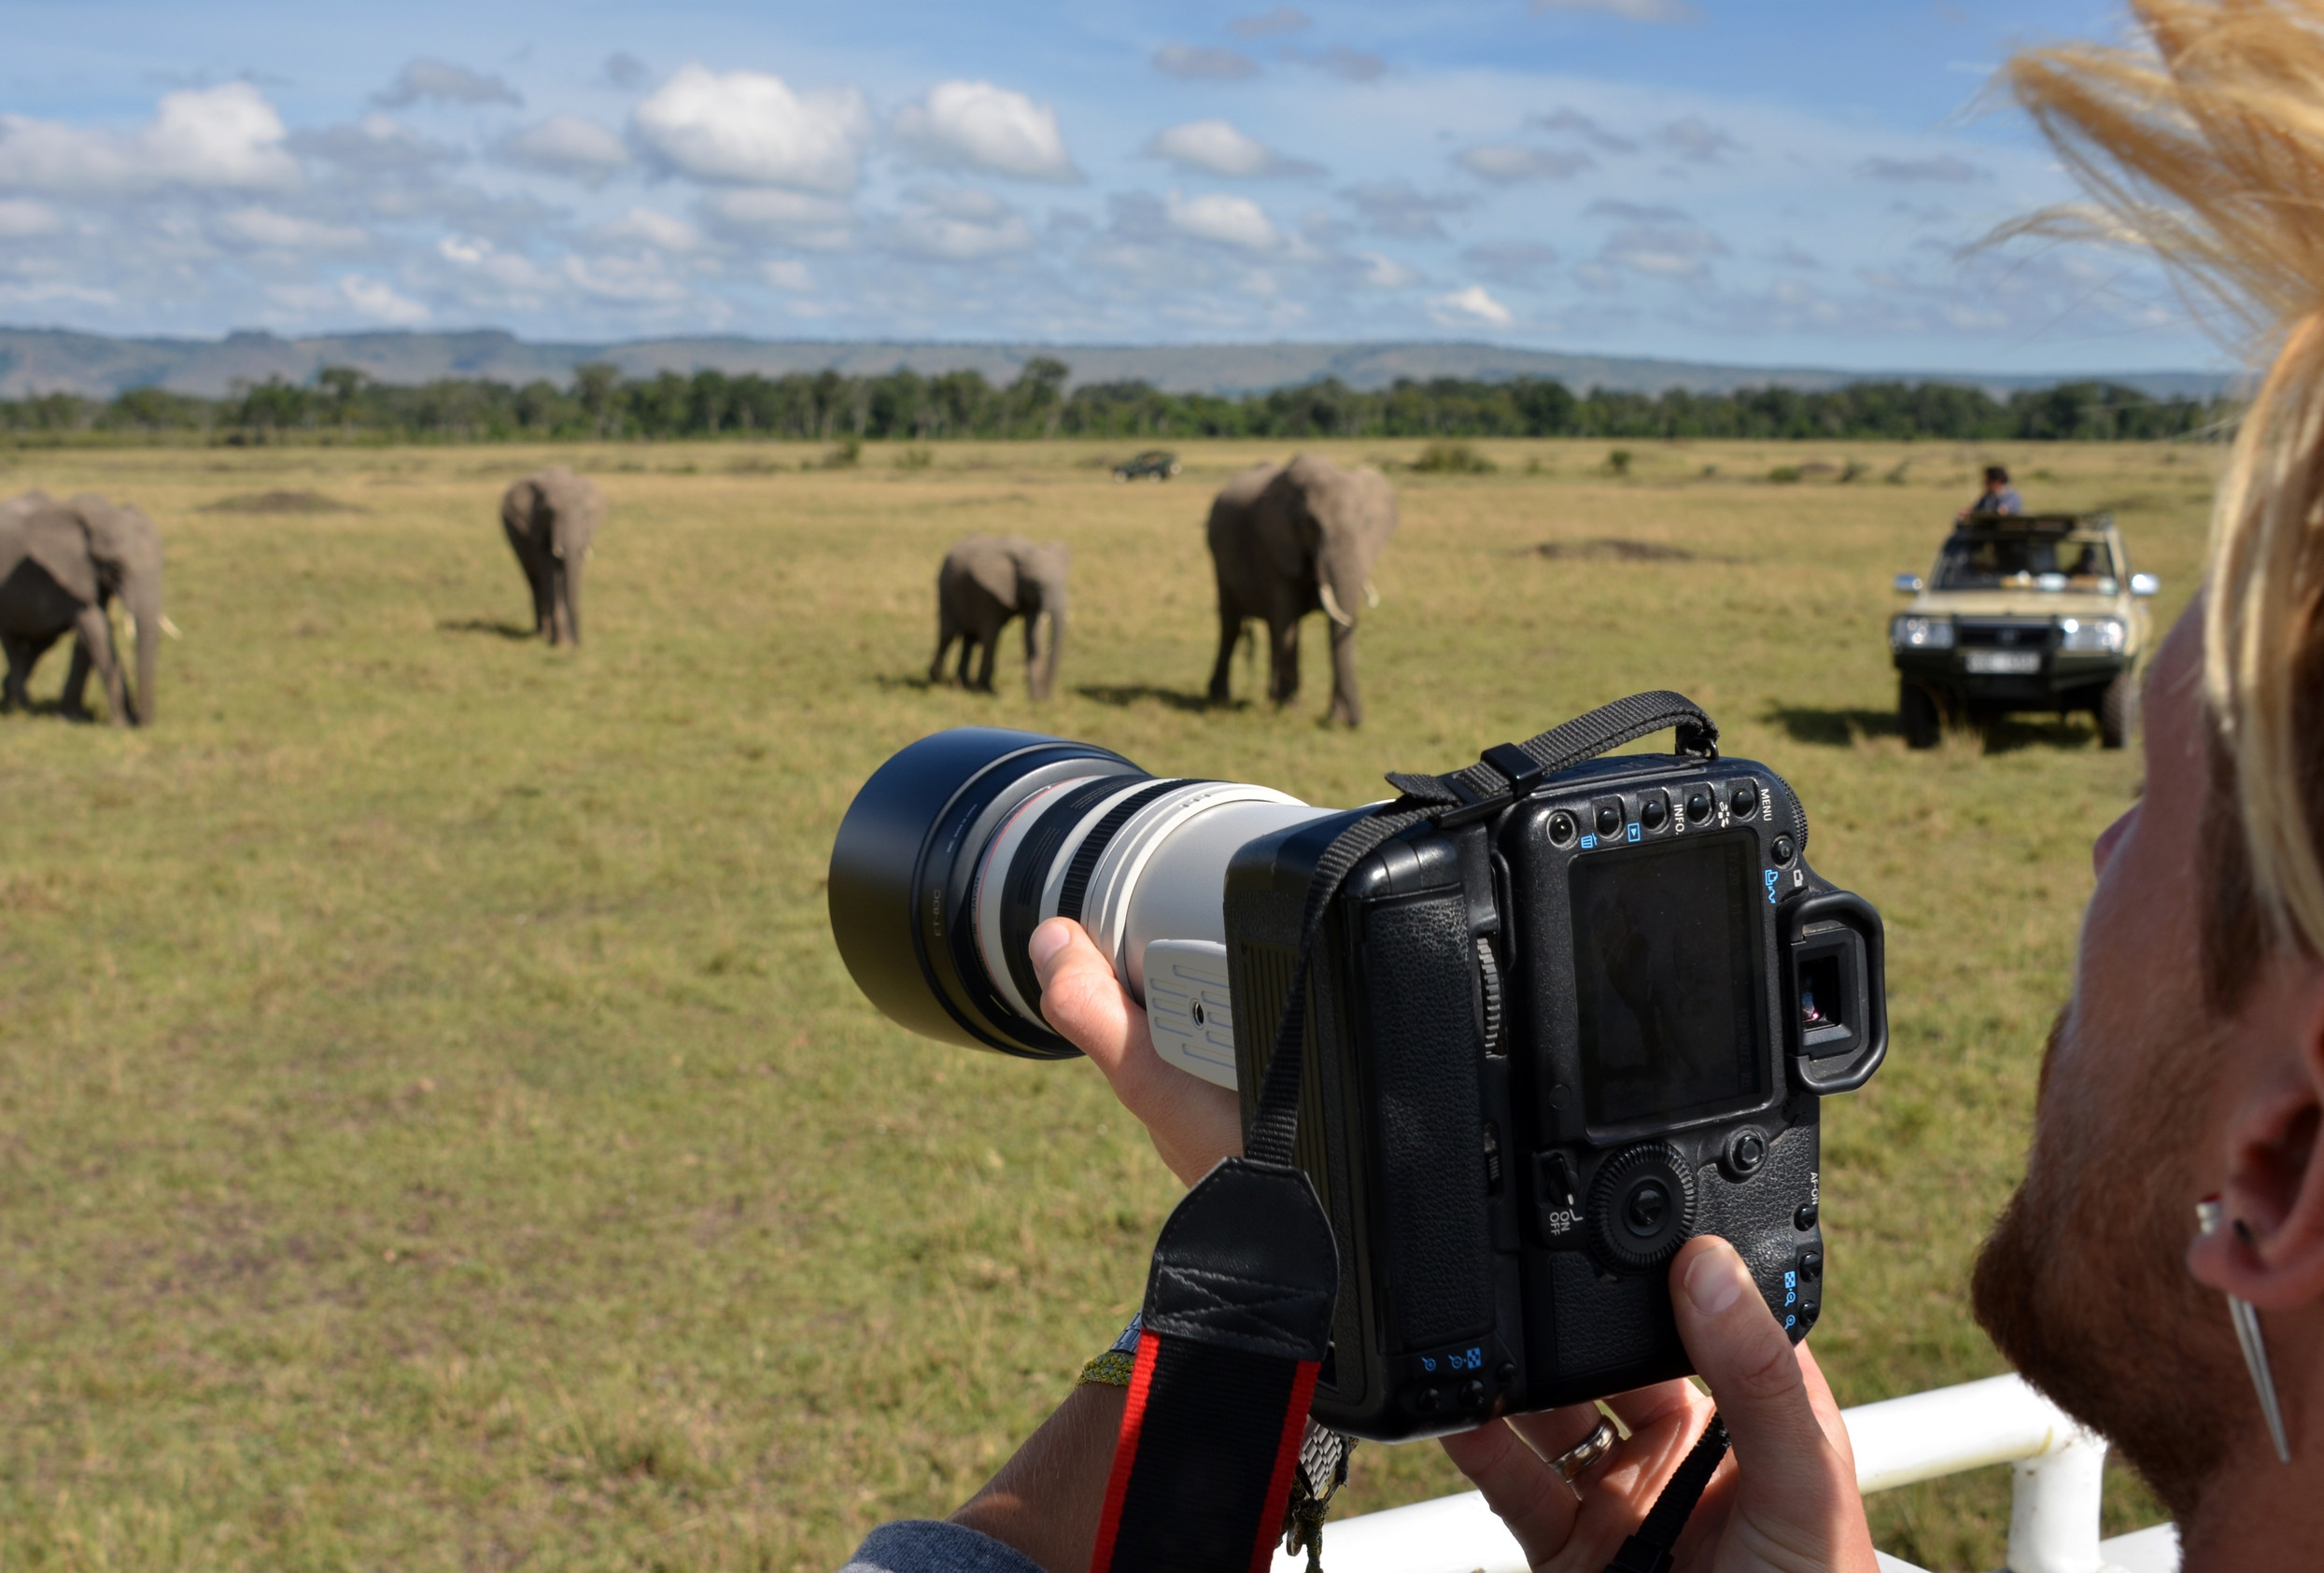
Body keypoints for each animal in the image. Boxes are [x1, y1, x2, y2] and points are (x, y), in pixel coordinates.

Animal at [0, 487, 163, 724]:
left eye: (163, 564)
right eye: (116, 568)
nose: (143, 724)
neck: (105, 516)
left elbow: (89, 636)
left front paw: (72, 716)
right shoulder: (68, 574)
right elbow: (96, 627)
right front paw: (121, 723)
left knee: (42, 641)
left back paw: (10, 697)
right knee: (11, 640)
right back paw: (21, 705)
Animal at [497, 467, 604, 645]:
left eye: (585, 514)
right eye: (549, 512)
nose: (578, 643)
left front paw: (565, 642)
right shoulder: (535, 526)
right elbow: (548, 572)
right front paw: (560, 643)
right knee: (535, 581)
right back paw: (542, 633)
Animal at [924, 534, 1068, 701]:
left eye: (1065, 583)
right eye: (1037, 584)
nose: (1043, 698)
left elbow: (1033, 635)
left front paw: (1035, 697)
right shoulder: (988, 593)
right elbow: (991, 634)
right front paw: (985, 690)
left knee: (969, 639)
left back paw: (962, 683)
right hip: (945, 588)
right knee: (948, 635)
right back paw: (936, 679)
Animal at [1208, 450, 1385, 724]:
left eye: (1366, 524)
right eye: (1311, 526)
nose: (1352, 722)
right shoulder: (1277, 547)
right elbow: (1288, 623)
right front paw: (1292, 712)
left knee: (1270, 628)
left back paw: (1270, 699)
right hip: (1218, 558)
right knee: (1231, 625)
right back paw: (1220, 699)